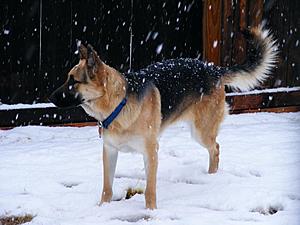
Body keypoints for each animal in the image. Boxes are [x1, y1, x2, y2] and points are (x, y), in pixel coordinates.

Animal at [49, 25, 276, 209]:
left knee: (216, 148)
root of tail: (214, 69)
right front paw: (102, 208)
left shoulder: (151, 152)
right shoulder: (110, 151)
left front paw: (151, 213)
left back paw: (212, 177)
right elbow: (107, 187)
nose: (49, 97)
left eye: (73, 81)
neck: (119, 103)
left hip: (201, 131)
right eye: (67, 79)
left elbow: (150, 189)